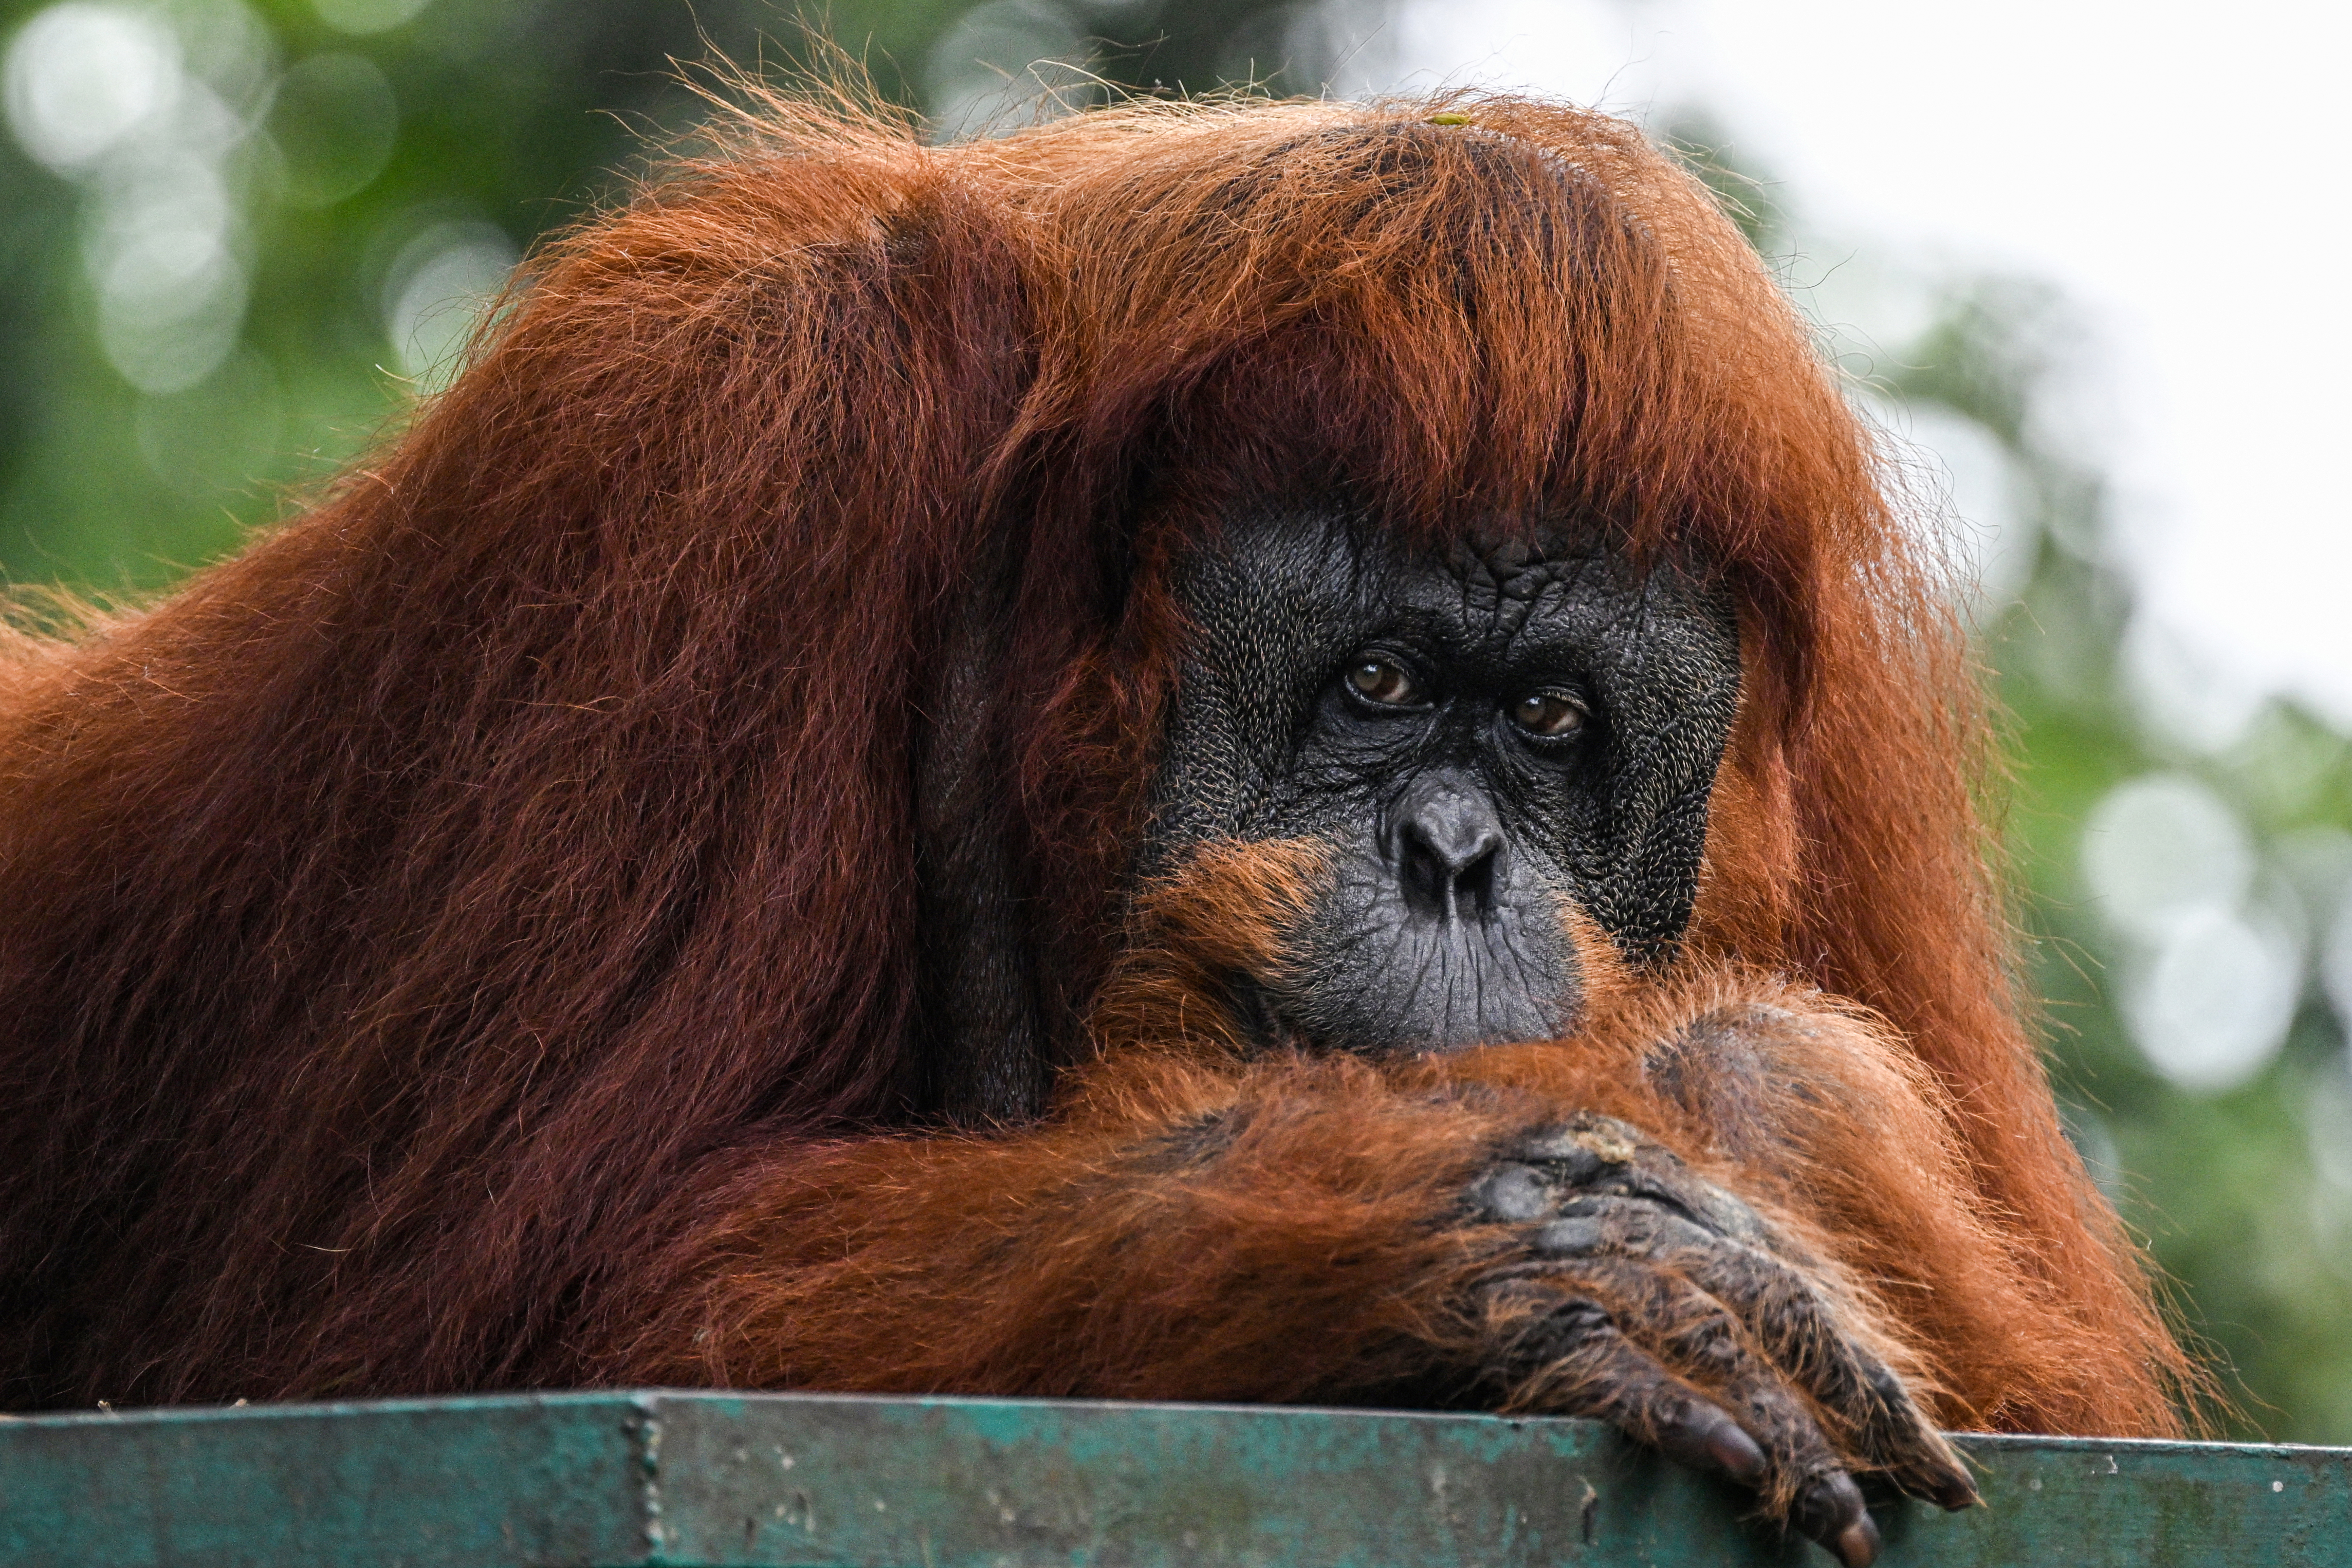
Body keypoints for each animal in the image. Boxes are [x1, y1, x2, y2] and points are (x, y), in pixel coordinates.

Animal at [0, 92, 2194, 1568]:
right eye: (1377, 686)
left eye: (1553, 723)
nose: (1457, 859)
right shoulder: (706, 458)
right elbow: (498, 1318)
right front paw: (1485, 1232)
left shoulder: (1849, 750)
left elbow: (2044, 1391)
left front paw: (1725, 1117)